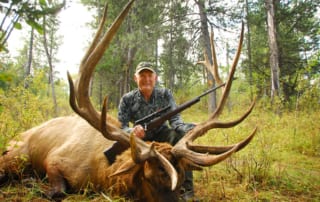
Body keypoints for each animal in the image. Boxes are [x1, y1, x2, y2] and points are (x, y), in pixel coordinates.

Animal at [0, 0, 255, 201]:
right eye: (151, 176)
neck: (101, 171)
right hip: (15, 155)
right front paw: (36, 184)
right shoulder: (54, 160)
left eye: (182, 175)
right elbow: (58, 189)